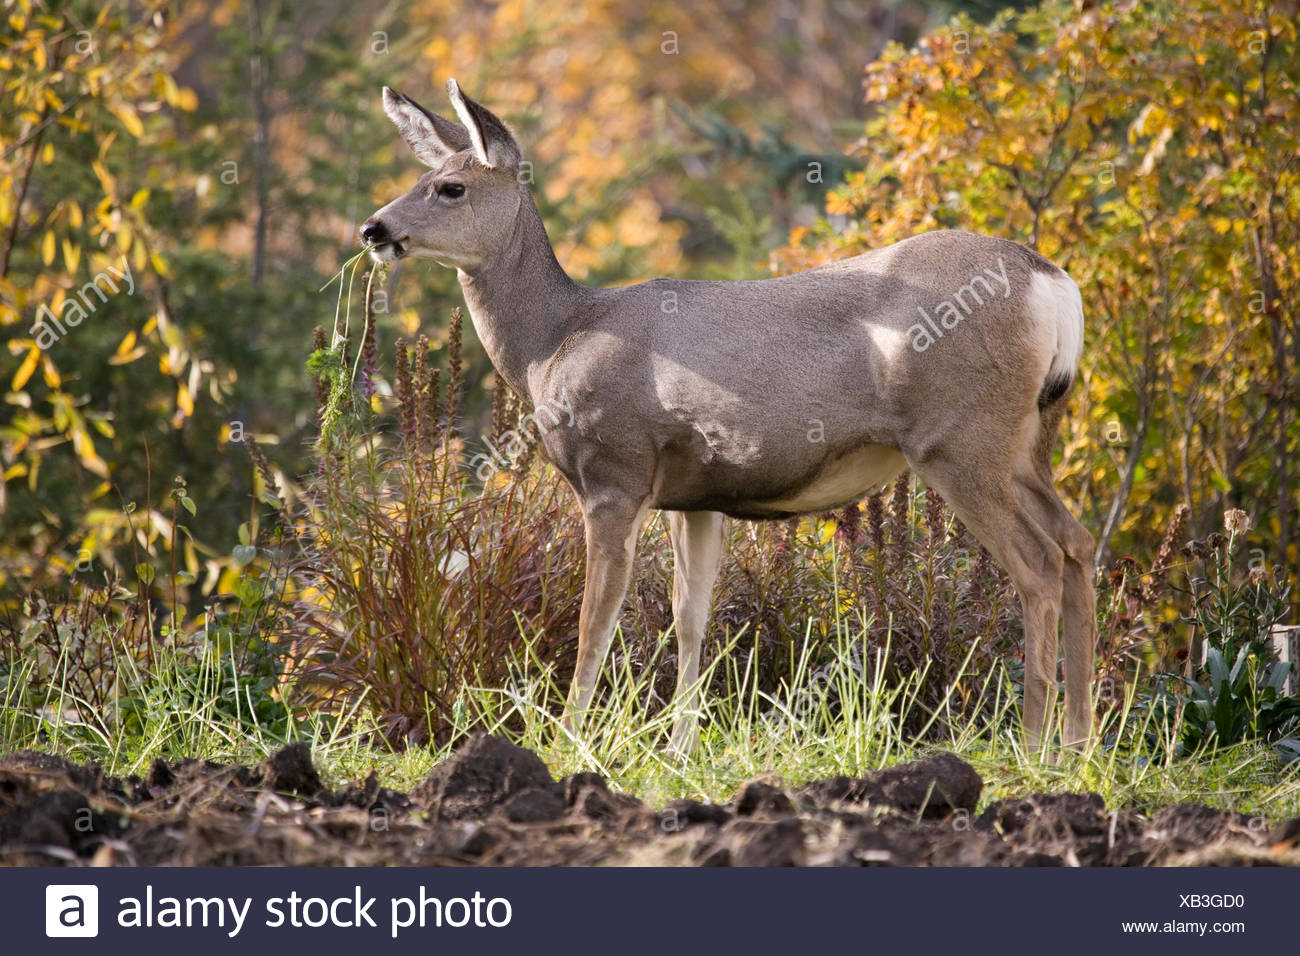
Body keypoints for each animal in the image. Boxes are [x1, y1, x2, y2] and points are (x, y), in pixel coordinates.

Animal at [358, 80, 1097, 754]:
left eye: (451, 187)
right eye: (421, 176)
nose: (374, 230)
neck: (552, 340)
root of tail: (1052, 281)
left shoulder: (614, 471)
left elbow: (597, 622)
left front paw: (569, 743)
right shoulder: (696, 496)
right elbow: (691, 616)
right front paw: (679, 748)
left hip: (961, 439)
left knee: (1037, 562)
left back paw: (1035, 747)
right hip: (1028, 439)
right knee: (1077, 543)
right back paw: (1079, 744)